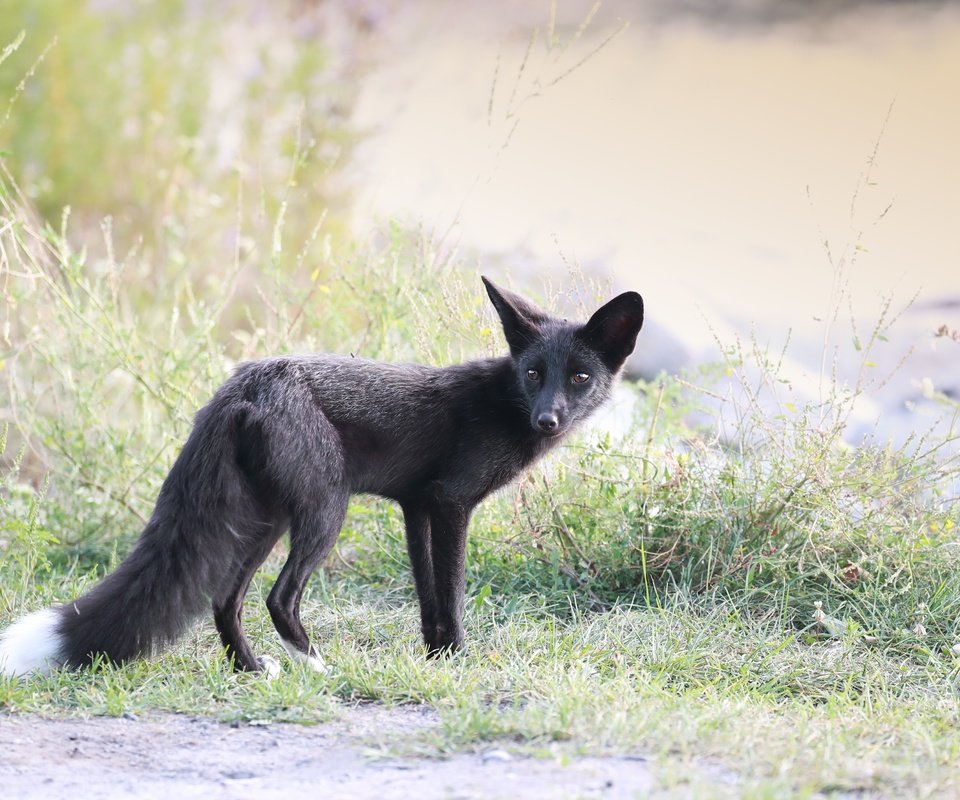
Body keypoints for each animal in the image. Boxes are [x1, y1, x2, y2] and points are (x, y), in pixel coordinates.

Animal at [1, 278, 644, 680]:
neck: (501, 403)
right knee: (277, 599)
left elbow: (429, 599)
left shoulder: (416, 507)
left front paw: (436, 659)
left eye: (580, 376)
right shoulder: (451, 504)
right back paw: (315, 667)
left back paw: (252, 670)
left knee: (225, 601)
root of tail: (245, 383)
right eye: (534, 373)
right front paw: (459, 661)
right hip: (324, 514)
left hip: (266, 521)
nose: (548, 419)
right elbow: (453, 593)